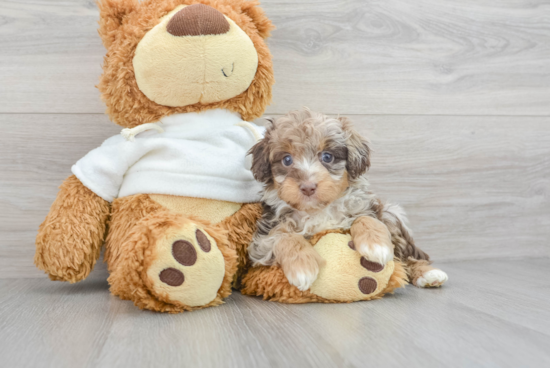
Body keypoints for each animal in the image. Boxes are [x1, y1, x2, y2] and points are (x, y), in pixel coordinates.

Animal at [248, 108, 450, 292]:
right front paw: (302, 268)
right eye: (287, 160)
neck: (319, 210)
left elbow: (365, 218)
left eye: (327, 157)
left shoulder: (366, 207)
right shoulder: (262, 243)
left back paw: (428, 274)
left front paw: (376, 246)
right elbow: (283, 236)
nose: (308, 187)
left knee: (407, 256)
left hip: (391, 214)